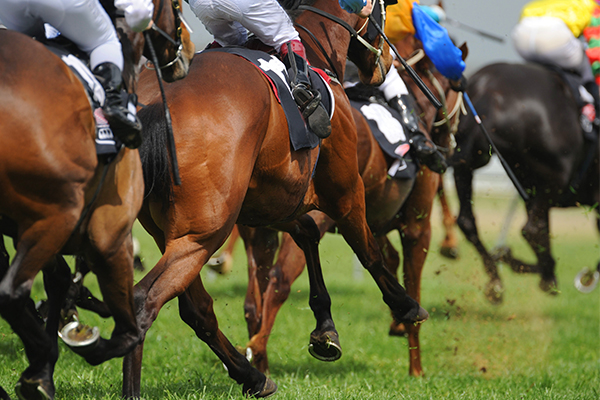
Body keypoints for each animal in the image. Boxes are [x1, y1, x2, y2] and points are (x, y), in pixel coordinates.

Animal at [0, 1, 193, 398]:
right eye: (178, 6)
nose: (186, 56)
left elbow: (58, 279)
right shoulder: (110, 234)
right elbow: (128, 330)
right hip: (60, 214)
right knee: (12, 291)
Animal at [125, 0, 436, 396]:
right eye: (384, 11)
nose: (384, 65)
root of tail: (154, 105)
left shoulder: (271, 203)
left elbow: (307, 236)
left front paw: (325, 330)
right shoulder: (346, 190)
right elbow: (368, 250)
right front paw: (406, 306)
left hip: (167, 229)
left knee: (196, 309)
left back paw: (253, 376)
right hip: (203, 232)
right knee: (144, 300)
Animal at [241, 34, 466, 376]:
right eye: (458, 86)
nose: (451, 142)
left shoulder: (370, 221)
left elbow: (387, 260)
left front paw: (398, 322)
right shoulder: (417, 226)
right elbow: (411, 281)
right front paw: (416, 367)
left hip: (260, 227)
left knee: (255, 296)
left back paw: (260, 360)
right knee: (279, 280)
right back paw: (265, 347)